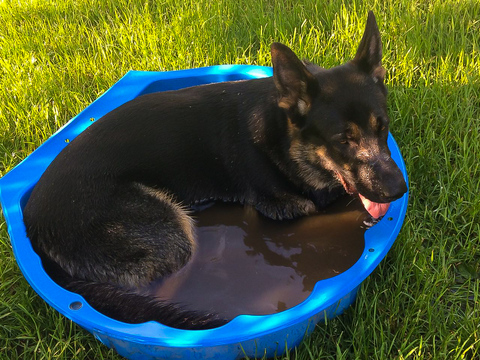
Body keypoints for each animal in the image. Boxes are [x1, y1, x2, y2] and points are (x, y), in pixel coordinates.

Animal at [22, 11, 404, 330]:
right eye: (344, 140)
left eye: (383, 126)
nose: (399, 190)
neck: (282, 137)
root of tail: (33, 224)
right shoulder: (287, 212)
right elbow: (328, 216)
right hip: (168, 233)